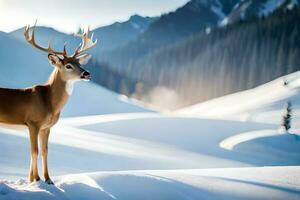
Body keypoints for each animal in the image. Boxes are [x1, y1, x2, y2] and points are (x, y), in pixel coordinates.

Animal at [0, 23, 97, 184]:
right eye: (68, 65)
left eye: (79, 63)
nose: (87, 73)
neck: (49, 103)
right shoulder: (33, 122)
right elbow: (34, 151)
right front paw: (36, 178)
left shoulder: (46, 127)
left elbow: (45, 151)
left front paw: (47, 179)